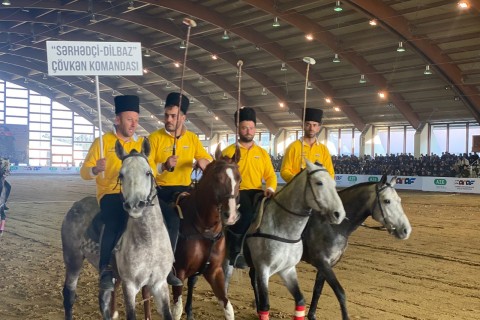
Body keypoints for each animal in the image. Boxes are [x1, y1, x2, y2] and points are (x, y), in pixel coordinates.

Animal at [62, 138, 173, 320]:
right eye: (121, 174)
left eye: (148, 172)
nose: (135, 205)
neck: (149, 240)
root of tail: (75, 206)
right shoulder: (130, 285)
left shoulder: (159, 284)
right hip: (73, 260)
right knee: (69, 296)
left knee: (104, 302)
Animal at [244, 161, 344, 320]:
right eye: (319, 182)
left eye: (334, 183)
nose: (339, 214)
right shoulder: (263, 268)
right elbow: (266, 305)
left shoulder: (288, 269)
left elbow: (301, 300)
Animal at [304, 175, 412, 320]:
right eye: (387, 201)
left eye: (399, 200)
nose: (406, 230)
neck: (332, 225)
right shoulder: (322, 262)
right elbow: (340, 293)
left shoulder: (326, 265)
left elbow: (317, 290)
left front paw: (312, 315)